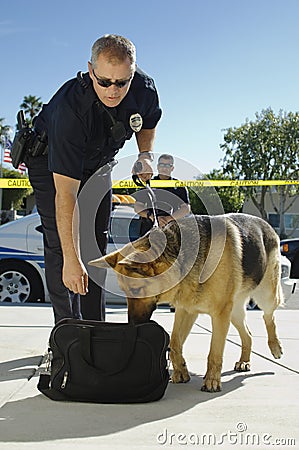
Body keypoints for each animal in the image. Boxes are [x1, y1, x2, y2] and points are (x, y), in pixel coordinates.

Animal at [89, 213, 284, 392]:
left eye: (136, 290)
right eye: (125, 292)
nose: (133, 325)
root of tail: (265, 223)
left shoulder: (219, 315)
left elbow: (215, 352)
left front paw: (212, 380)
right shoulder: (186, 309)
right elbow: (175, 342)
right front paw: (180, 371)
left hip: (265, 295)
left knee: (269, 316)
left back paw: (275, 346)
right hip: (234, 311)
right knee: (248, 334)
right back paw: (244, 361)